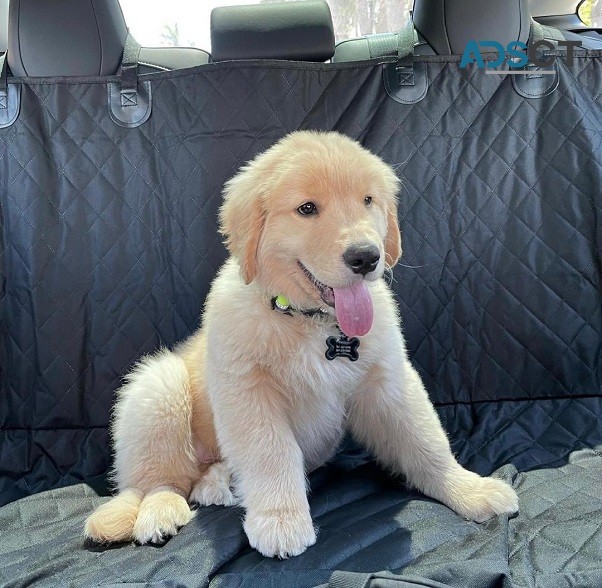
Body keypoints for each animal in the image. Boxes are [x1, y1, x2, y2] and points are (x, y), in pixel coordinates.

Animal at [83, 131, 516, 560]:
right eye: (307, 209)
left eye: (368, 200)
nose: (366, 257)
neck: (312, 322)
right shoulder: (248, 390)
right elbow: (272, 452)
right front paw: (281, 522)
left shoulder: (389, 379)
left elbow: (426, 439)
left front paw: (468, 487)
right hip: (159, 388)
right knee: (156, 481)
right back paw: (159, 512)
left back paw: (217, 483)